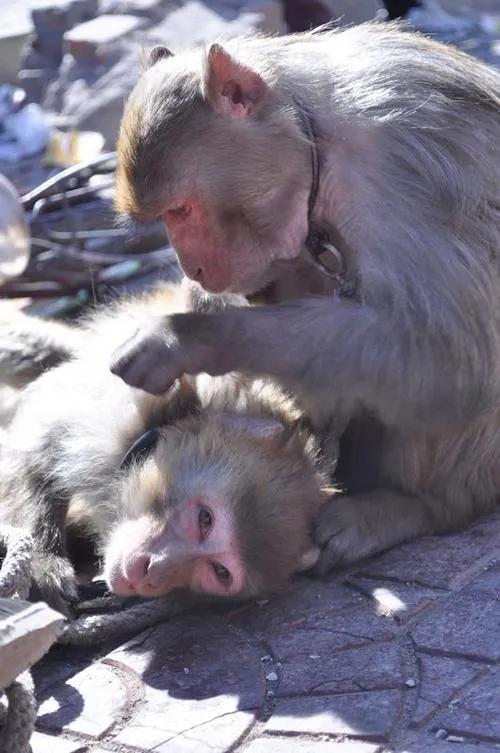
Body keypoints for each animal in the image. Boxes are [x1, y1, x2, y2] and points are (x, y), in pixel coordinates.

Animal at [111, 22, 500, 568]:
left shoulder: (401, 174)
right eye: (166, 216)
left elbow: (452, 359)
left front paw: (190, 336)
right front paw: (203, 302)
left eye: (181, 209)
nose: (194, 268)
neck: (316, 131)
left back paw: (411, 506)